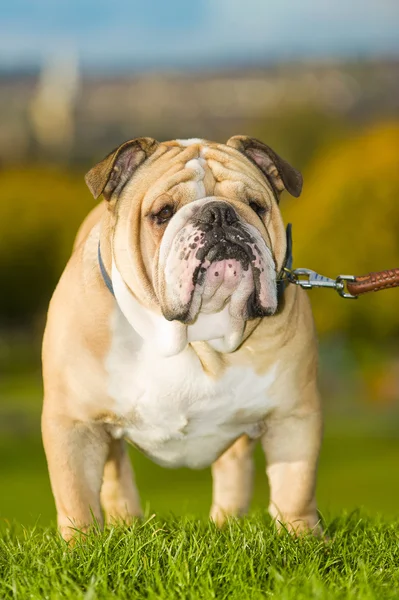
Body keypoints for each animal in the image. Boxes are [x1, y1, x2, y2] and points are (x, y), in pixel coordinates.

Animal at [41, 136, 322, 540]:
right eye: (163, 213)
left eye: (256, 206)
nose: (220, 214)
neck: (195, 337)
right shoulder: (75, 423)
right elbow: (76, 495)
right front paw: (81, 546)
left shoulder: (293, 414)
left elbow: (294, 487)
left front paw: (303, 539)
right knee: (116, 475)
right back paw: (126, 525)